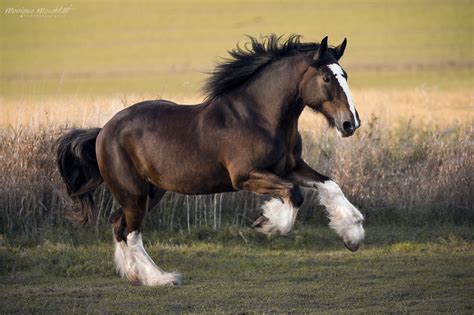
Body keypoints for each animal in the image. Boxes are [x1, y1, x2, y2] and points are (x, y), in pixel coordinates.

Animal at [57, 35, 364, 288]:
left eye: (345, 75)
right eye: (326, 78)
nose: (350, 123)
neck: (259, 117)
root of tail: (103, 132)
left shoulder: (290, 168)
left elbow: (329, 185)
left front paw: (353, 235)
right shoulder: (245, 176)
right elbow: (294, 194)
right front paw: (267, 222)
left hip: (151, 192)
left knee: (117, 224)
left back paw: (134, 275)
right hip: (135, 194)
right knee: (131, 232)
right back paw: (159, 279)